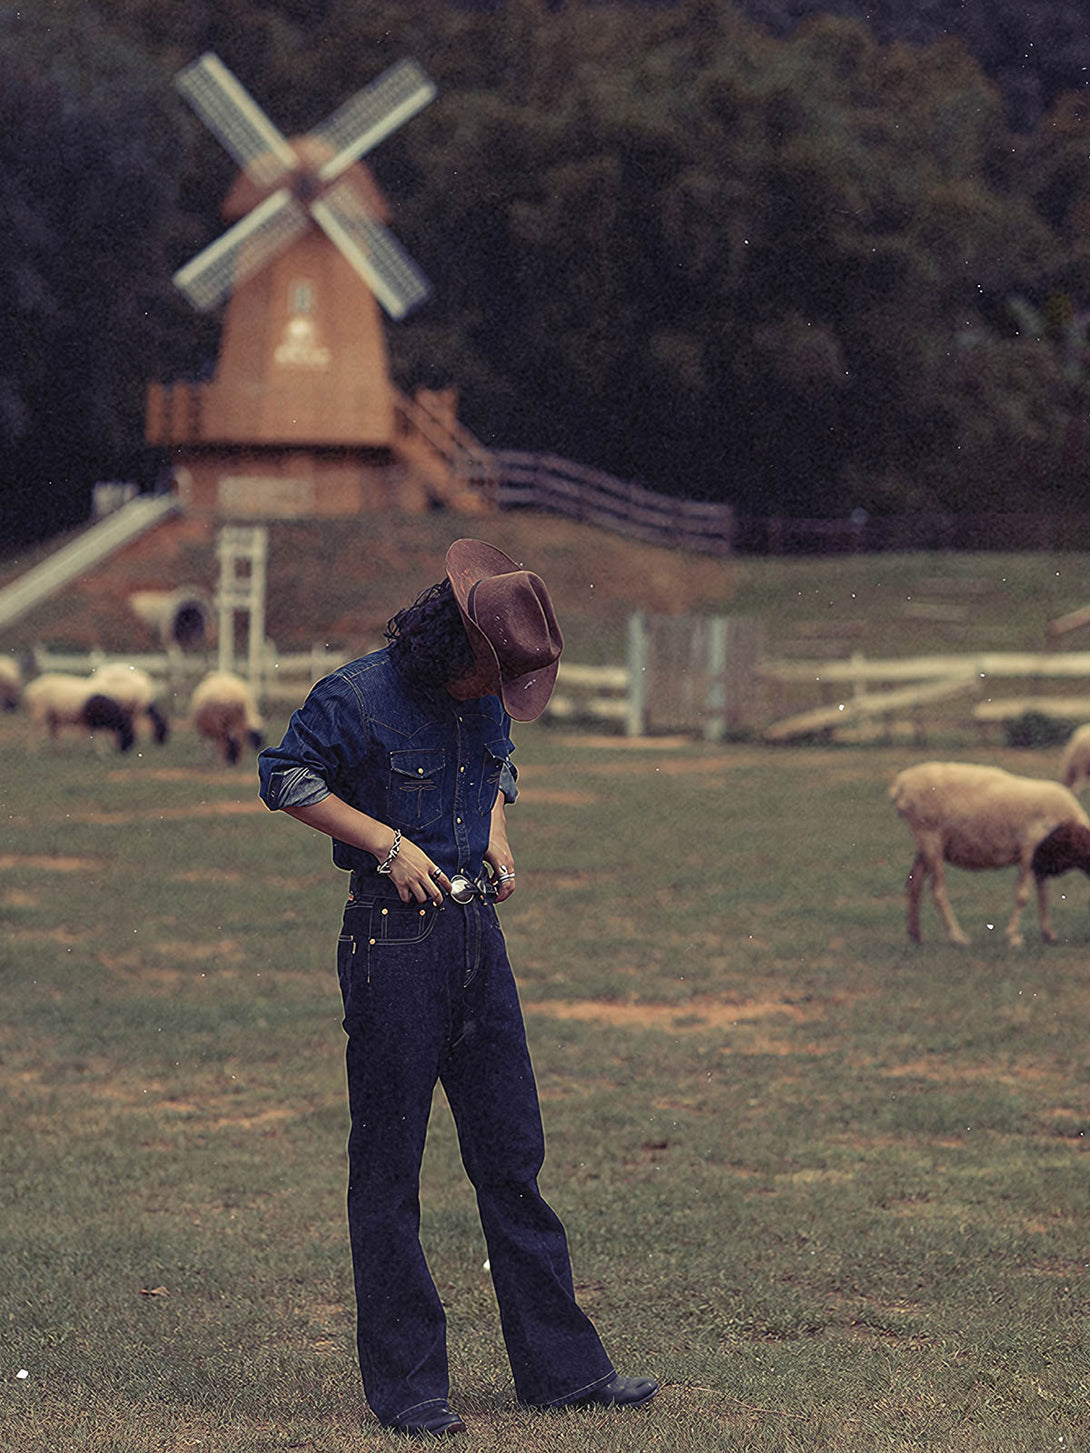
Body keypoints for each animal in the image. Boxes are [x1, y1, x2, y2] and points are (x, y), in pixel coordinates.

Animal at [889, 761, 1090, 953]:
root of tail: (901, 784)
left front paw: (1048, 934)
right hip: (929, 836)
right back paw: (957, 937)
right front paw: (1014, 937)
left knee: (914, 883)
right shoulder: (1029, 849)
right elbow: (1023, 896)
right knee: (937, 892)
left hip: (926, 844)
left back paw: (916, 935)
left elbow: (1044, 894)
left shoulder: (1041, 859)